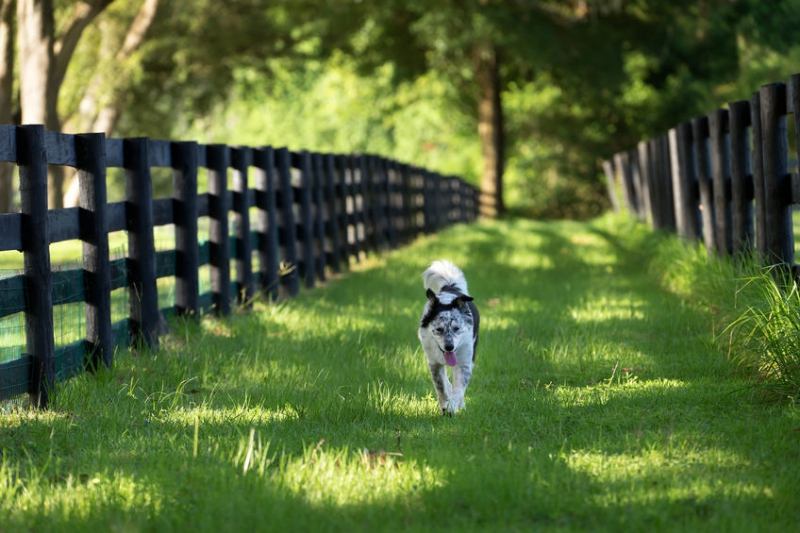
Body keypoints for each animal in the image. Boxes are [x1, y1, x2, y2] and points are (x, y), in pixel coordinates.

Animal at [418, 260, 482, 414]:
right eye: (438, 329)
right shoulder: (434, 363)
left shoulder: (465, 363)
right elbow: (441, 387)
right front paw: (444, 406)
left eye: (456, 328)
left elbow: (458, 390)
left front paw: (452, 407)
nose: (449, 347)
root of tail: (451, 287)